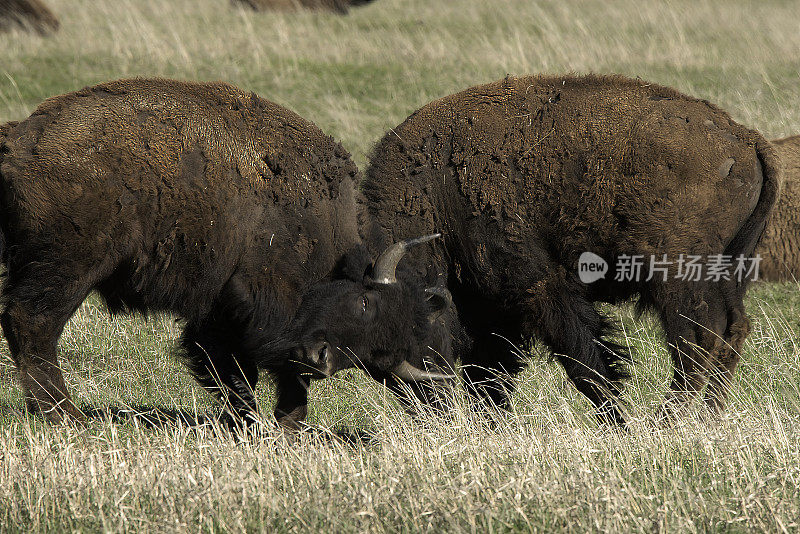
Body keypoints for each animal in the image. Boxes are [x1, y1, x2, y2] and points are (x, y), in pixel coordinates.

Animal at [0, 77, 450, 430]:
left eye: (377, 354)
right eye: (364, 303)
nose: (320, 359)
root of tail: (23, 137)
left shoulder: (220, 314)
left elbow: (259, 375)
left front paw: (280, 426)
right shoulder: (251, 304)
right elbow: (243, 373)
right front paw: (252, 423)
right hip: (70, 267)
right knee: (32, 323)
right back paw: (65, 415)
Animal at [310, 74, 780, 428]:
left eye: (408, 327)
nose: (433, 408)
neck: (436, 189)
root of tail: (746, 140)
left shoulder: (539, 286)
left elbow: (586, 361)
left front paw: (618, 424)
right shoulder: (490, 311)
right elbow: (490, 374)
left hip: (676, 275)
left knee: (698, 339)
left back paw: (667, 421)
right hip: (728, 272)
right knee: (731, 332)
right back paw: (705, 417)